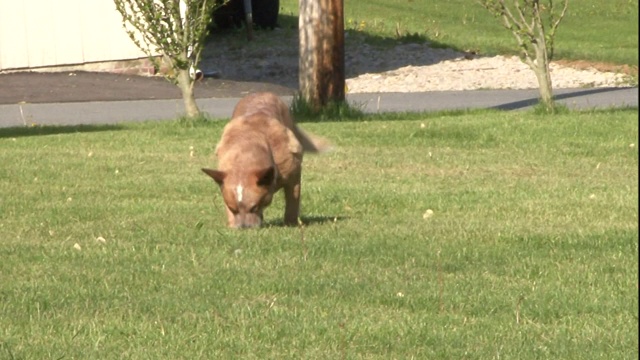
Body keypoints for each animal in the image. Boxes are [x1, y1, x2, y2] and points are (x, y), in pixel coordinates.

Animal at [200, 93, 330, 228]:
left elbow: (292, 202)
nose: (244, 227)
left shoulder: (293, 176)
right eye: (232, 209)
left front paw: (290, 224)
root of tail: (261, 93)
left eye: (254, 207)